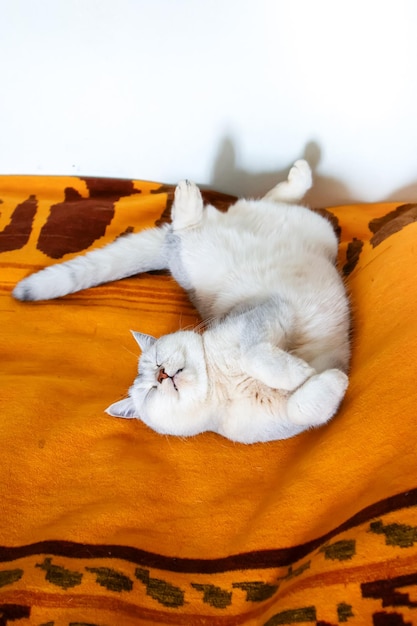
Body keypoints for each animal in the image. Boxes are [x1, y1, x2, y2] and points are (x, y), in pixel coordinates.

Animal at [13, 161, 350, 444]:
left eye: (156, 360)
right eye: (150, 389)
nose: (162, 374)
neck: (221, 382)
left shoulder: (267, 311)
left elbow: (254, 355)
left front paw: (302, 373)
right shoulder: (282, 414)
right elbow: (302, 406)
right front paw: (322, 377)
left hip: (305, 233)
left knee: (216, 218)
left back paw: (195, 193)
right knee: (221, 218)